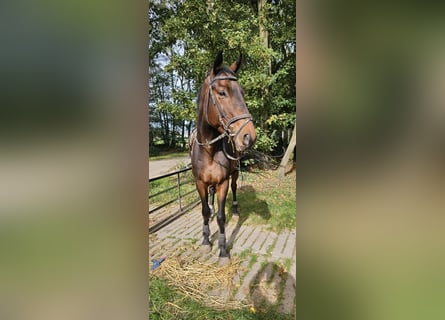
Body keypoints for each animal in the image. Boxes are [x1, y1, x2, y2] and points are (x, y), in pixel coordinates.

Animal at [188, 52, 256, 264]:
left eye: (242, 92)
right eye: (222, 92)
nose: (249, 136)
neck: (209, 150)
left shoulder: (223, 183)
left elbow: (221, 217)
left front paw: (223, 251)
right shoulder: (200, 182)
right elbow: (204, 211)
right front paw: (205, 242)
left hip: (234, 174)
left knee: (234, 188)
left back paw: (234, 209)